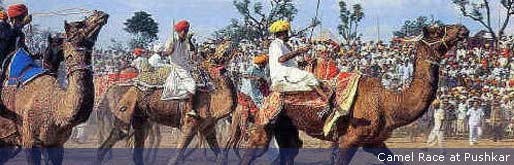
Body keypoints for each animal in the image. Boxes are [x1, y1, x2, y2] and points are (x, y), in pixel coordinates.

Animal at [96, 45, 238, 164]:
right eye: (213, 57)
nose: (228, 46)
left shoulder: (208, 127)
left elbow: (220, 157)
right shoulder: (190, 125)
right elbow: (175, 158)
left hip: (140, 117)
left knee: (136, 144)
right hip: (126, 107)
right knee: (120, 132)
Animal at [240, 23, 468, 164]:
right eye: (437, 31)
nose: (463, 29)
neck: (388, 103)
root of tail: (269, 91)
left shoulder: (374, 142)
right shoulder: (349, 140)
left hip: (286, 124)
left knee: (290, 151)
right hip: (267, 119)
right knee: (254, 149)